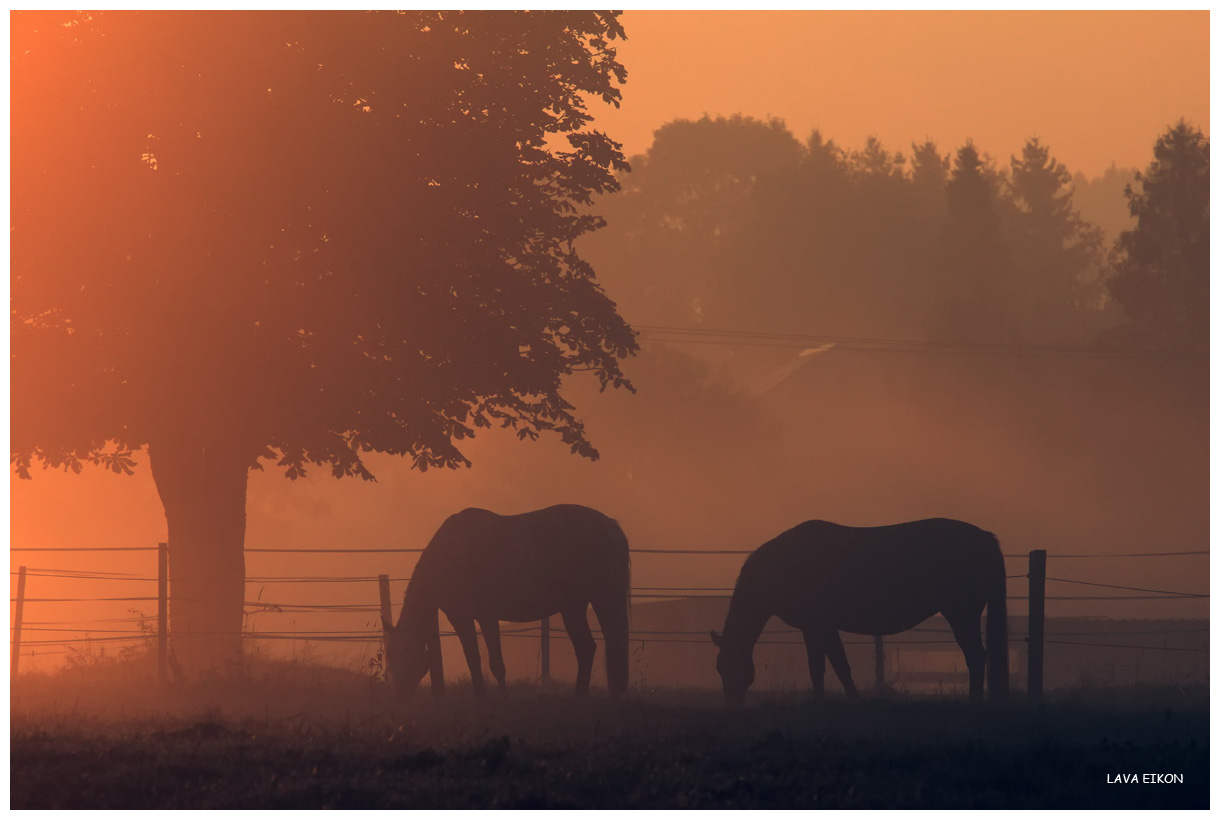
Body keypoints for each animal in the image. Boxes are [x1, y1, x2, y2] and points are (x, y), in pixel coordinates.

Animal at [712, 519, 1005, 702]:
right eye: (719, 669)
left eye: (735, 667)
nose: (732, 704)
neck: (785, 565)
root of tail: (985, 538)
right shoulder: (819, 627)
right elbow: (829, 666)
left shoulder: (818, 625)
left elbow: (828, 666)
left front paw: (834, 701)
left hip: (962, 614)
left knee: (976, 657)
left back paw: (974, 700)